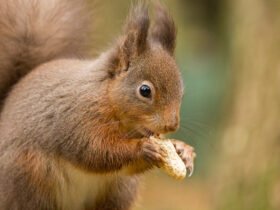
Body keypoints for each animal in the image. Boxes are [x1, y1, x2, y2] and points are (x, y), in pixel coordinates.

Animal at [0, 0, 195, 210]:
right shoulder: (78, 119)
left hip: (119, 190)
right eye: (145, 90)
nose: (171, 126)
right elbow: (95, 150)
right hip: (30, 176)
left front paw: (182, 150)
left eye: (182, 92)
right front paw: (143, 148)